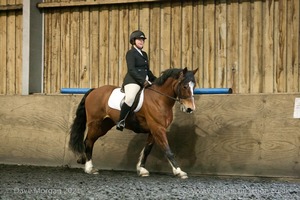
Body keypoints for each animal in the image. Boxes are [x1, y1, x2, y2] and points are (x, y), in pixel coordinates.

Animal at [69, 67, 198, 178]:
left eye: (194, 86)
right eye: (185, 86)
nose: (190, 109)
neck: (159, 99)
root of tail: (94, 90)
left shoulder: (154, 130)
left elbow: (147, 150)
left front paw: (141, 169)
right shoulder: (158, 128)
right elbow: (167, 149)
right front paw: (179, 171)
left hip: (104, 126)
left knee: (90, 140)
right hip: (95, 123)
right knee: (88, 141)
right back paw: (89, 168)